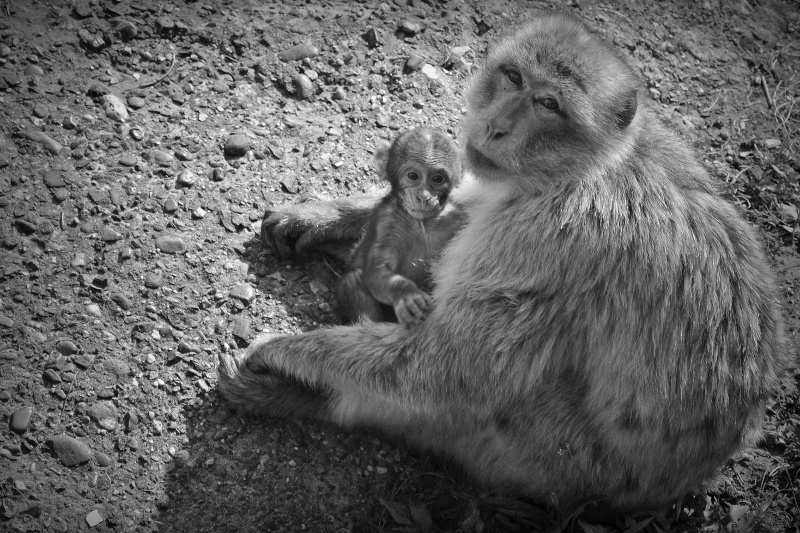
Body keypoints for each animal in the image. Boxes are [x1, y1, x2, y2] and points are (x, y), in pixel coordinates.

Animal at [335, 128, 463, 326]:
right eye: (413, 176)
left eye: (437, 179)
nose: (424, 196)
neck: (423, 224)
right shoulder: (387, 220)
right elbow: (379, 270)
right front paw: (406, 294)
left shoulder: (457, 218)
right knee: (352, 280)